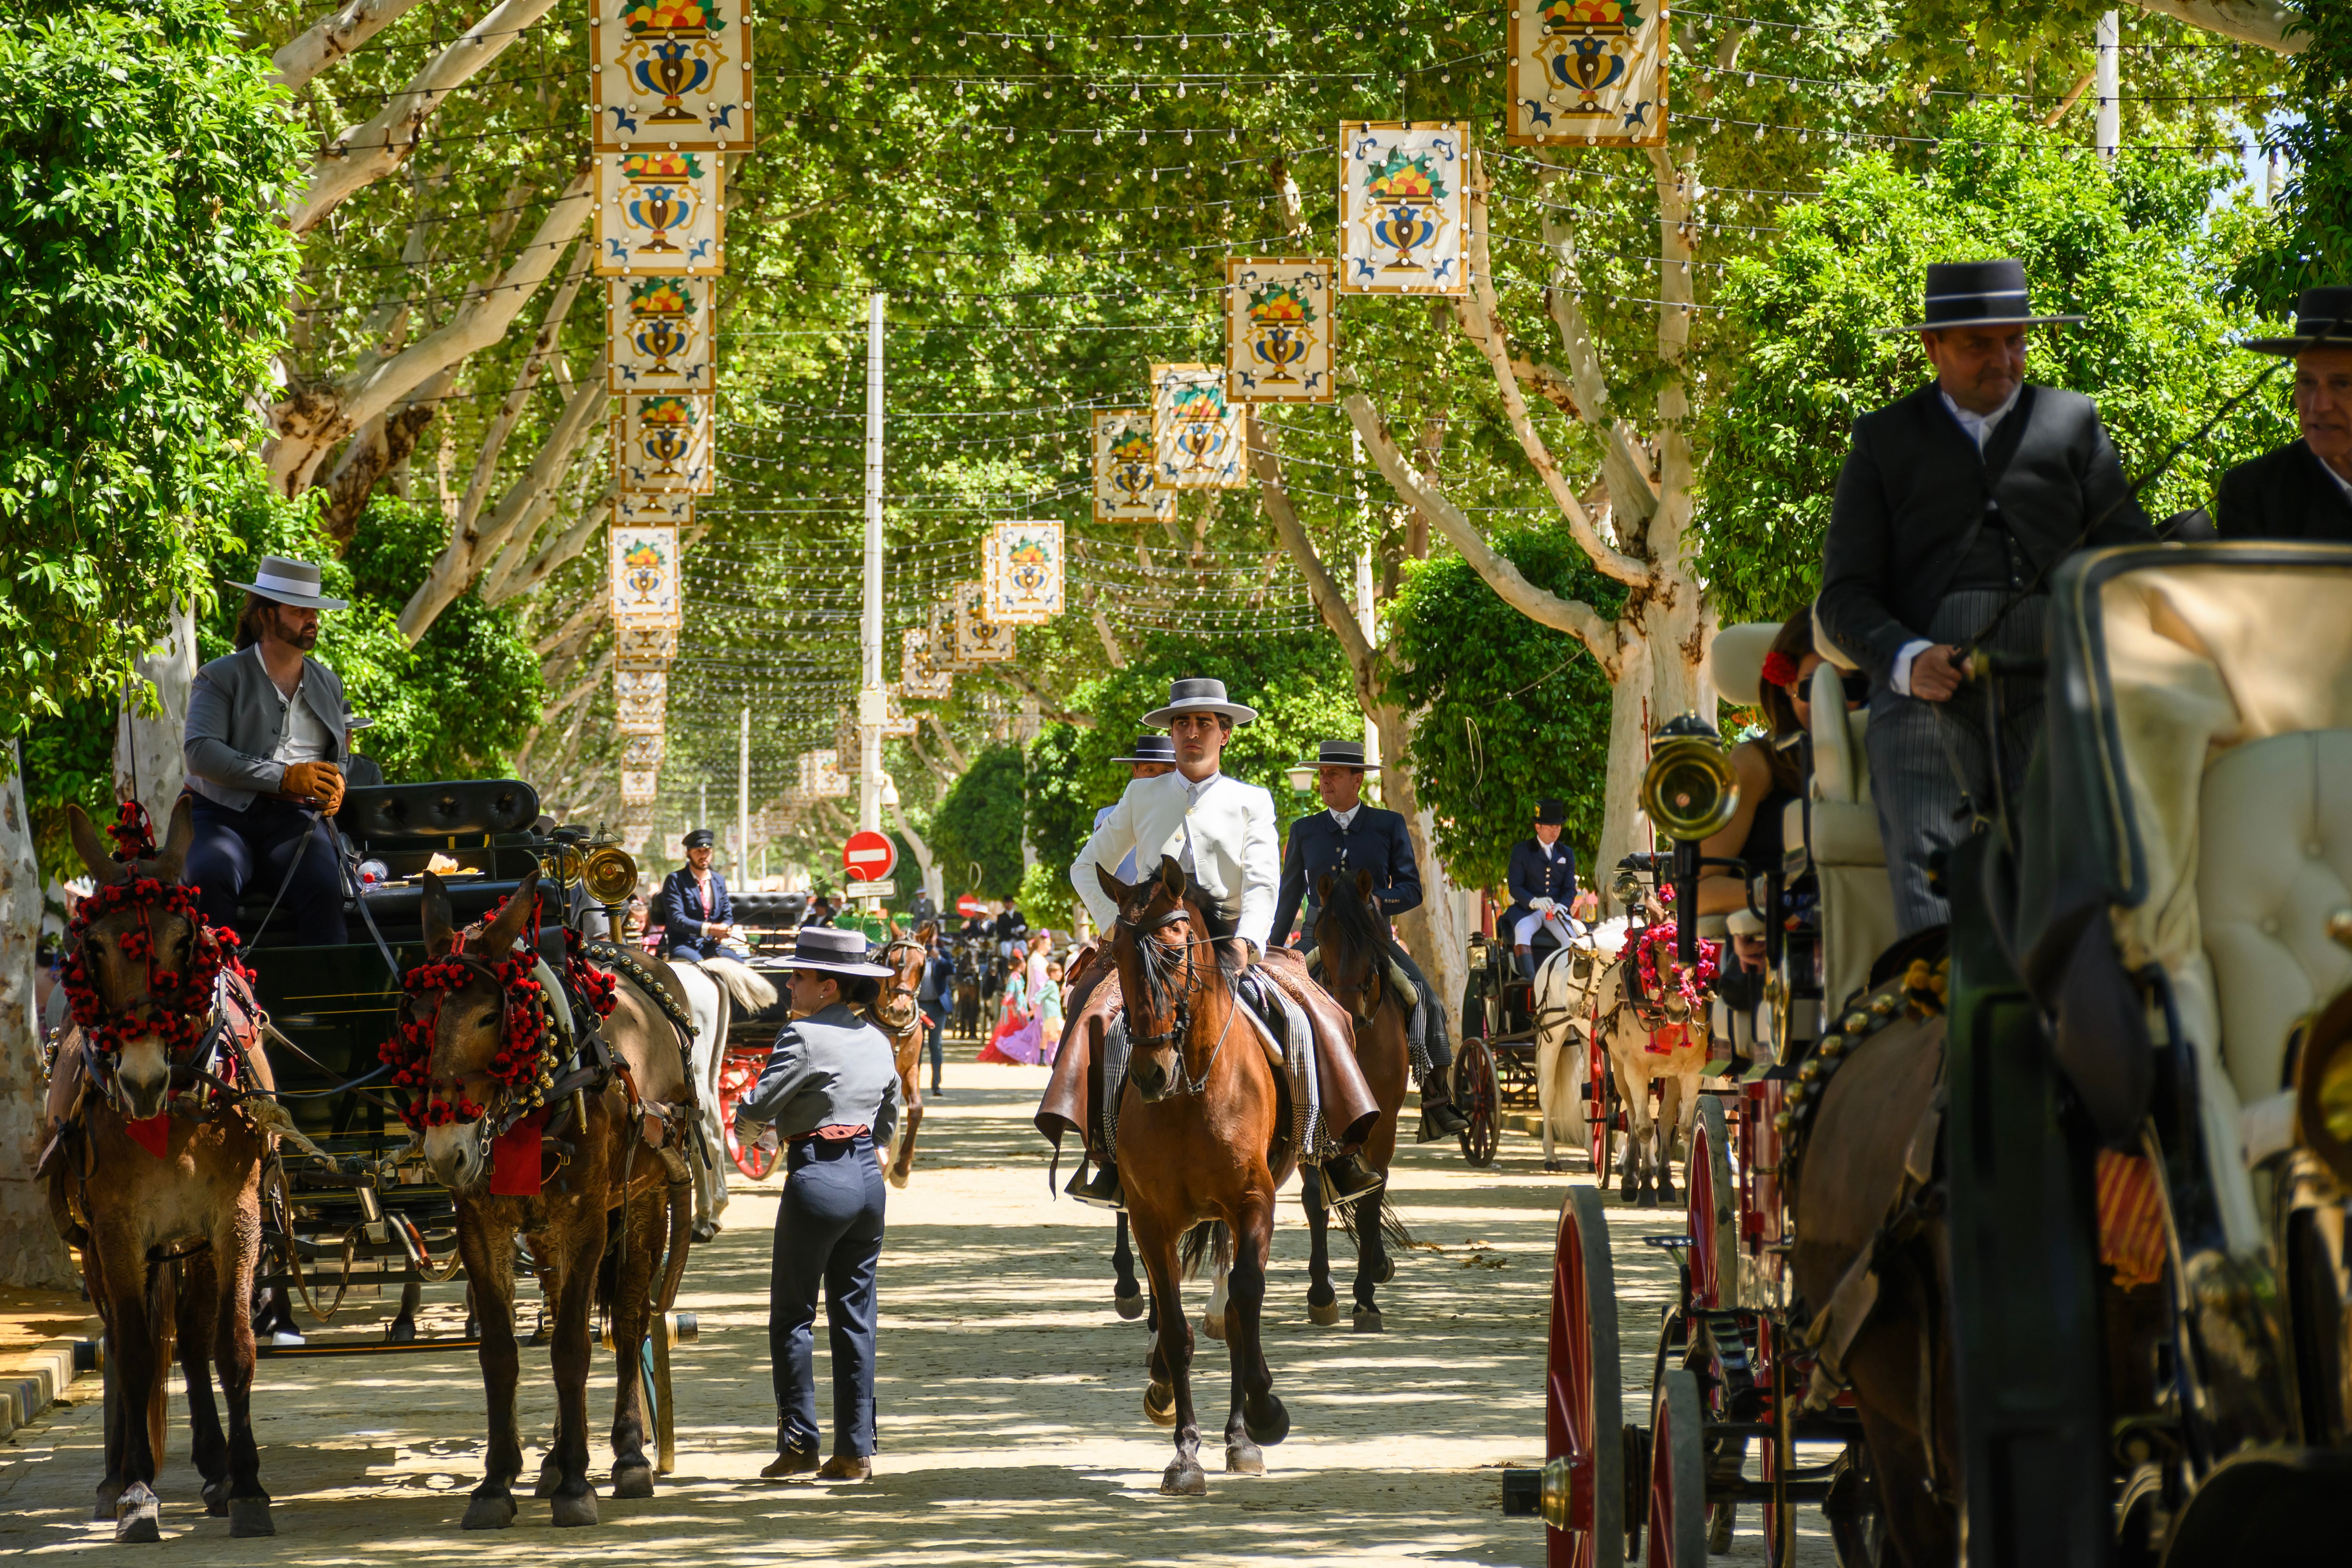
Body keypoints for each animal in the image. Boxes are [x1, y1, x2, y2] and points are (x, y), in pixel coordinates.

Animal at [41, 804, 275, 1542]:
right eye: (94, 946)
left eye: (184, 940)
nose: (142, 1080)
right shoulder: (117, 1232)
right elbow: (141, 1353)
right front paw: (138, 1493)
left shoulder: (235, 1219)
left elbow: (232, 1346)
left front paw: (248, 1483)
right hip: (100, 1247)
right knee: (122, 1340)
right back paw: (115, 1474)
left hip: (189, 1244)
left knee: (195, 1341)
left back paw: (215, 1466)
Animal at [407, 865, 691, 1523]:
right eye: (420, 1015)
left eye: (489, 1018)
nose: (445, 1151)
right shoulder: (481, 1222)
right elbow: (500, 1352)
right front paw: (496, 1483)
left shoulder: (588, 1218)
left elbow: (570, 1347)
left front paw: (579, 1486)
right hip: (544, 1232)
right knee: (572, 1306)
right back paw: (558, 1457)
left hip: (643, 1199)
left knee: (630, 1318)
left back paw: (627, 1455)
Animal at [668, 959, 776, 1241]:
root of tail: (703, 968)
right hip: (709, 1069)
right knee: (712, 1129)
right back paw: (712, 1212)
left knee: (704, 1133)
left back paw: (706, 1216)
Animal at [1096, 860, 1298, 1495]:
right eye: (1116, 953)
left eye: (1174, 950)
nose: (1149, 1073)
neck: (1189, 1095)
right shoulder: (1149, 1220)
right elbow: (1176, 1330)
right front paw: (1184, 1454)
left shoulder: (1253, 1201)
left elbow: (1244, 1300)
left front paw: (1263, 1413)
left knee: (1234, 1311)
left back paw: (1241, 1438)